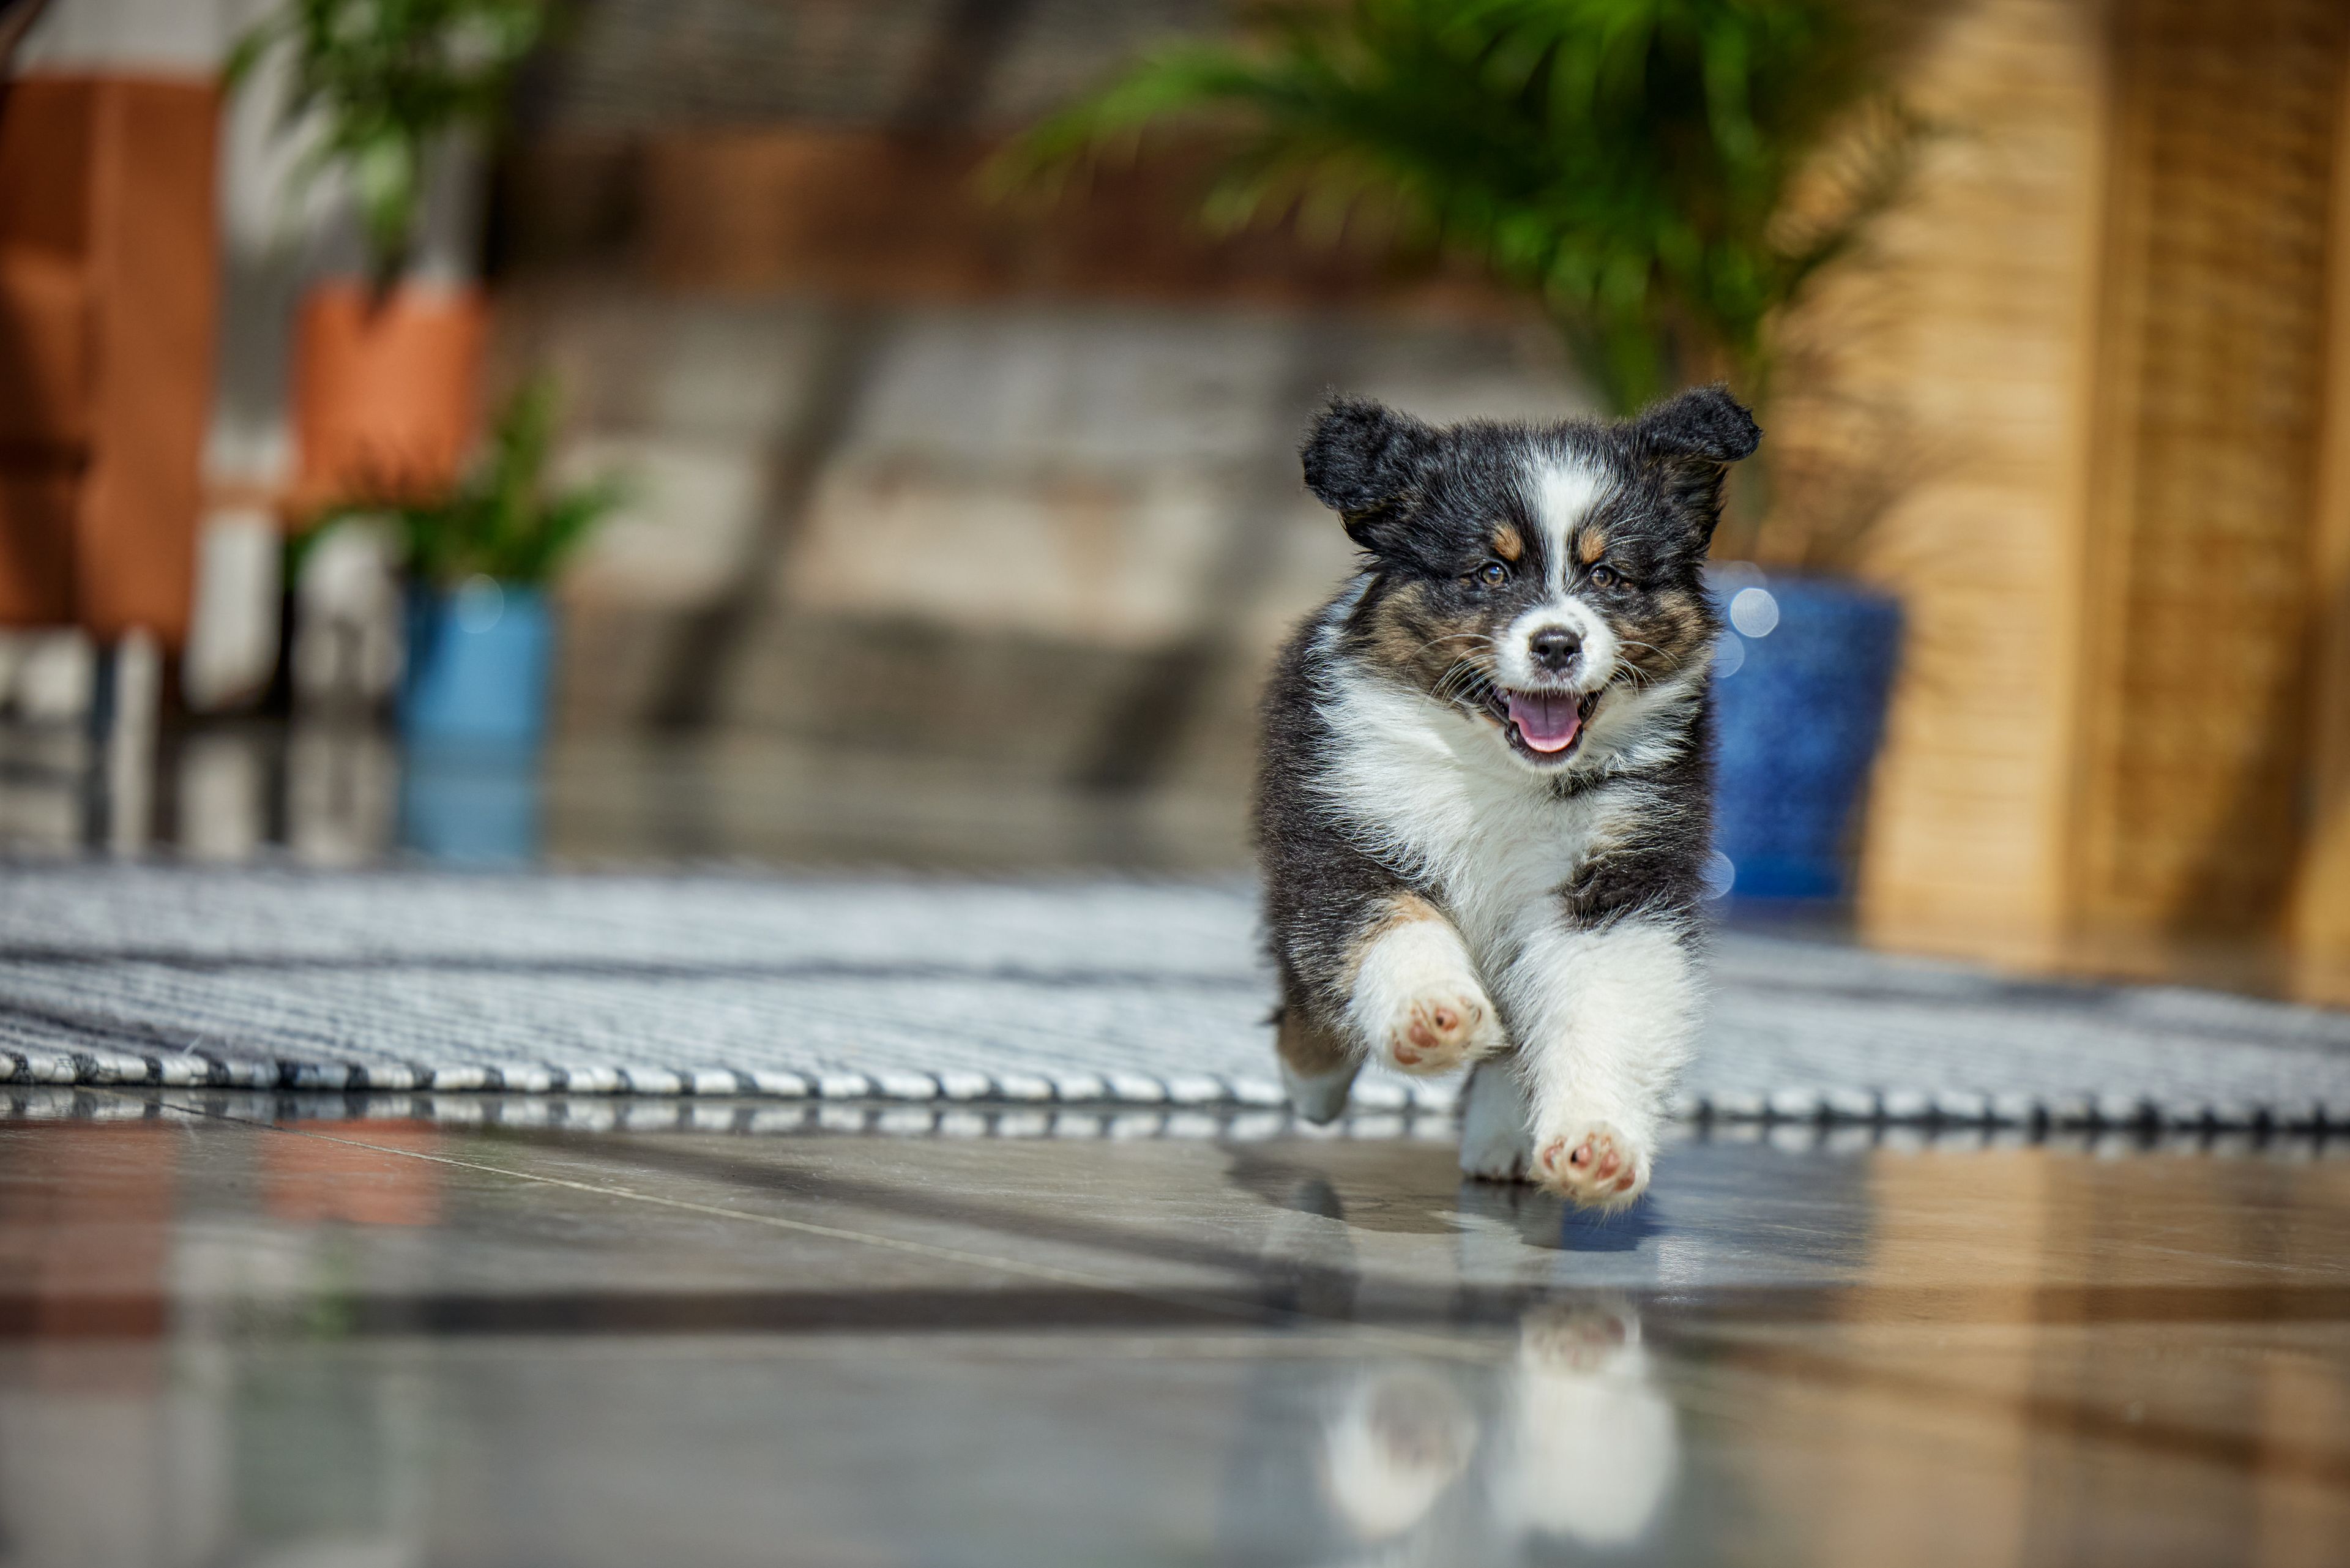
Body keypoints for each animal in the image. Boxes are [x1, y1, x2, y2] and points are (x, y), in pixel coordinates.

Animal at [1259, 385, 1758, 1212]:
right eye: (1491, 572)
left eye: (1609, 577)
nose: (1557, 644)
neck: (1497, 771)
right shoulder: (1347, 824)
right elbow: (1393, 927)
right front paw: (1432, 1015)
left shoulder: (1616, 878)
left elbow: (1602, 1001)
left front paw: (1597, 1145)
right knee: (1305, 989)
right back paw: (1315, 1082)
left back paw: (1503, 1137)